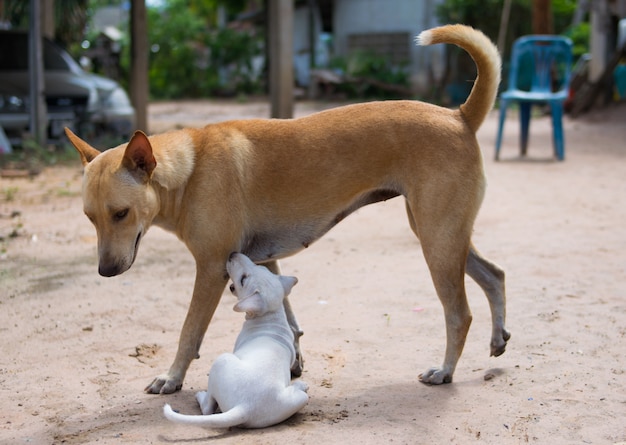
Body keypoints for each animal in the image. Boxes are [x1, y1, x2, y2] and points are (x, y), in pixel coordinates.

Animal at [66, 22, 510, 394]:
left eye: (121, 214)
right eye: (90, 218)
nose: (106, 271)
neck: (190, 169)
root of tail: (458, 116)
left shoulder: (209, 270)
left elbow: (189, 332)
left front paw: (172, 377)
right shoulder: (265, 262)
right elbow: (290, 322)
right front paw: (291, 363)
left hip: (437, 242)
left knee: (460, 313)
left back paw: (445, 370)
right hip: (440, 235)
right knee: (495, 275)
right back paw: (498, 337)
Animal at [162, 251, 306, 428]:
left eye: (243, 279)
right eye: (262, 267)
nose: (233, 253)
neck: (270, 315)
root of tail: (245, 407)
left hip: (221, 360)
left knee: (208, 408)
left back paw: (200, 396)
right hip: (298, 400)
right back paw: (300, 385)